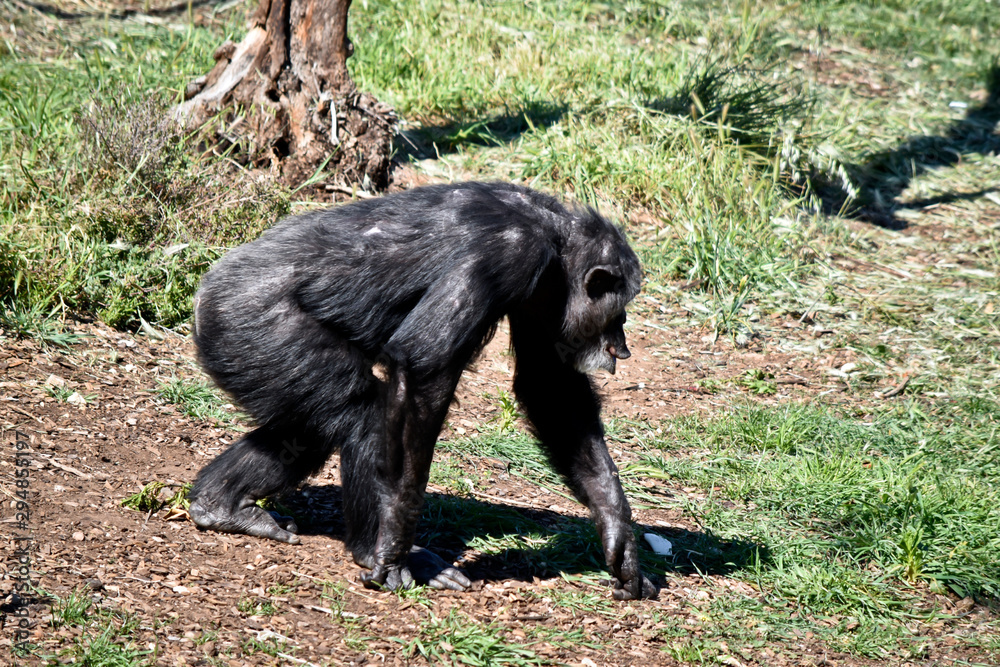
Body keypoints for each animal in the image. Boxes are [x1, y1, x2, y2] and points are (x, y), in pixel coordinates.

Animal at [187, 181, 657, 600]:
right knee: (365, 417)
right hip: (259, 329)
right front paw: (393, 547)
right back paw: (378, 549)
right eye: (619, 310)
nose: (623, 343)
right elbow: (423, 365)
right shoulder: (511, 254)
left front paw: (617, 531)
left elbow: (550, 387)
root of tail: (203, 293)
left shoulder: (543, 296)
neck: (554, 237)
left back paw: (221, 504)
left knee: (306, 431)